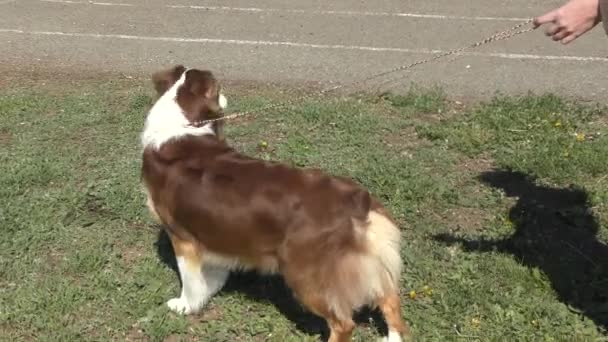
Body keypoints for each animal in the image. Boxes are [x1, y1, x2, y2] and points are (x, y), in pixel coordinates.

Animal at [140, 65, 410, 340]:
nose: (226, 95)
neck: (183, 124)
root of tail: (357, 201)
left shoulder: (181, 236)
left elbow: (190, 279)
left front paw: (185, 305)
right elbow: (212, 272)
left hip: (304, 272)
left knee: (343, 323)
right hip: (371, 264)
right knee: (390, 301)